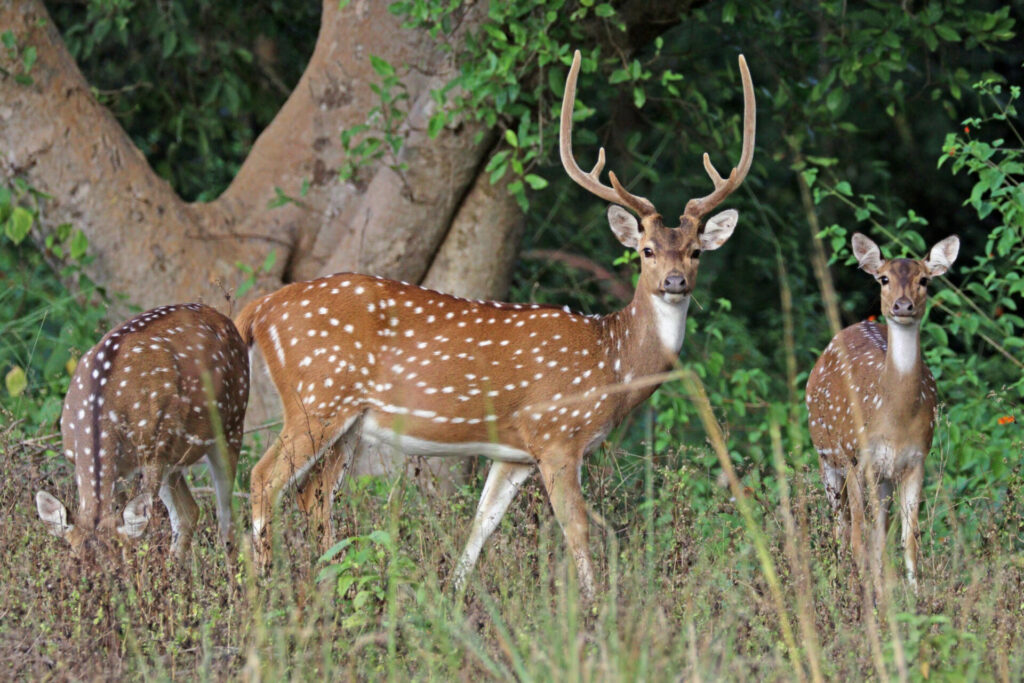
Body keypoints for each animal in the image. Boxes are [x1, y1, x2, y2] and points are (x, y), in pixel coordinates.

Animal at [36, 305, 249, 561]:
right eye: (74, 560)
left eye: (117, 562)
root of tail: (224, 318)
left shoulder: (152, 453)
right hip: (171, 456)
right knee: (189, 512)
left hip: (232, 423)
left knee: (227, 518)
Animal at [235, 50, 757, 602]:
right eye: (646, 251)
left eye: (697, 251)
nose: (676, 281)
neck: (612, 362)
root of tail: (261, 308)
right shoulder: (557, 434)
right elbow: (577, 529)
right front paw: (595, 609)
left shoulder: (515, 454)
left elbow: (480, 526)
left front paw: (454, 599)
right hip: (316, 397)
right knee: (264, 478)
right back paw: (263, 589)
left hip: (348, 420)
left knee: (314, 495)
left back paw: (331, 589)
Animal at [806, 231, 958, 593]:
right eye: (884, 278)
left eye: (924, 280)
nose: (902, 306)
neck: (894, 419)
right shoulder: (858, 457)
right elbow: (862, 535)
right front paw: (868, 596)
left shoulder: (916, 460)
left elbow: (908, 539)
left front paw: (914, 598)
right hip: (830, 457)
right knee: (843, 526)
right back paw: (845, 583)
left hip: (883, 476)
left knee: (873, 531)